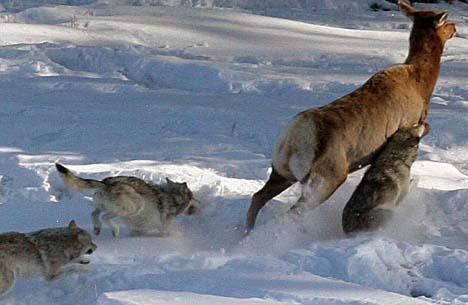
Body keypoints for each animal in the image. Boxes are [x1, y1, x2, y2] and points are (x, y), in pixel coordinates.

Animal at [55, 163, 201, 236]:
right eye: (193, 196)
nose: (201, 203)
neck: (172, 197)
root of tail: (107, 183)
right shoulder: (164, 228)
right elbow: (171, 233)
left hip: (103, 205)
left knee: (94, 213)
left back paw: (97, 228)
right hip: (136, 206)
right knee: (105, 217)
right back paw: (115, 231)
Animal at [243, 1, 456, 230]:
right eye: (446, 21)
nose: (455, 28)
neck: (422, 85)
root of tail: (295, 139)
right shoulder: (406, 127)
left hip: (281, 171)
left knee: (258, 197)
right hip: (326, 179)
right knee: (293, 212)